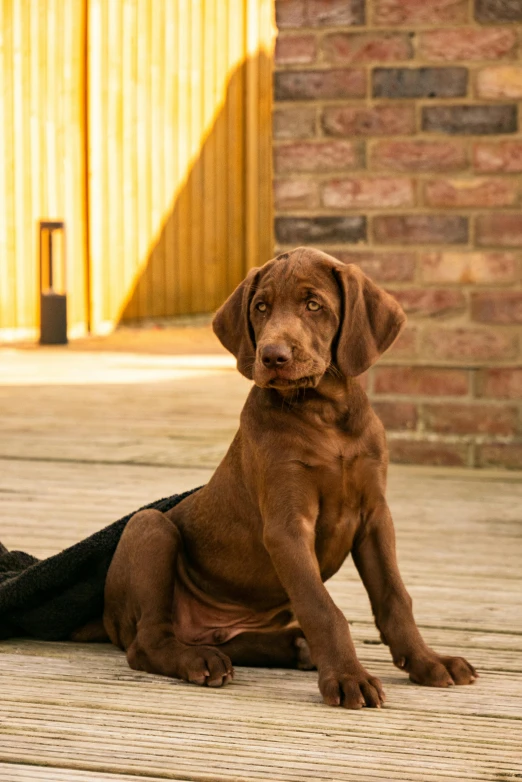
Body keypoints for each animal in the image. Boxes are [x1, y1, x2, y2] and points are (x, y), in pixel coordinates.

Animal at [101, 248, 476, 708]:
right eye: (260, 308)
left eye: (313, 305)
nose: (272, 356)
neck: (324, 413)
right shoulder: (287, 525)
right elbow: (323, 608)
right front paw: (348, 677)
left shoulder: (375, 517)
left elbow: (394, 596)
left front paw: (427, 660)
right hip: (150, 526)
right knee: (147, 641)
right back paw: (199, 661)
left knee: (227, 640)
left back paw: (291, 647)